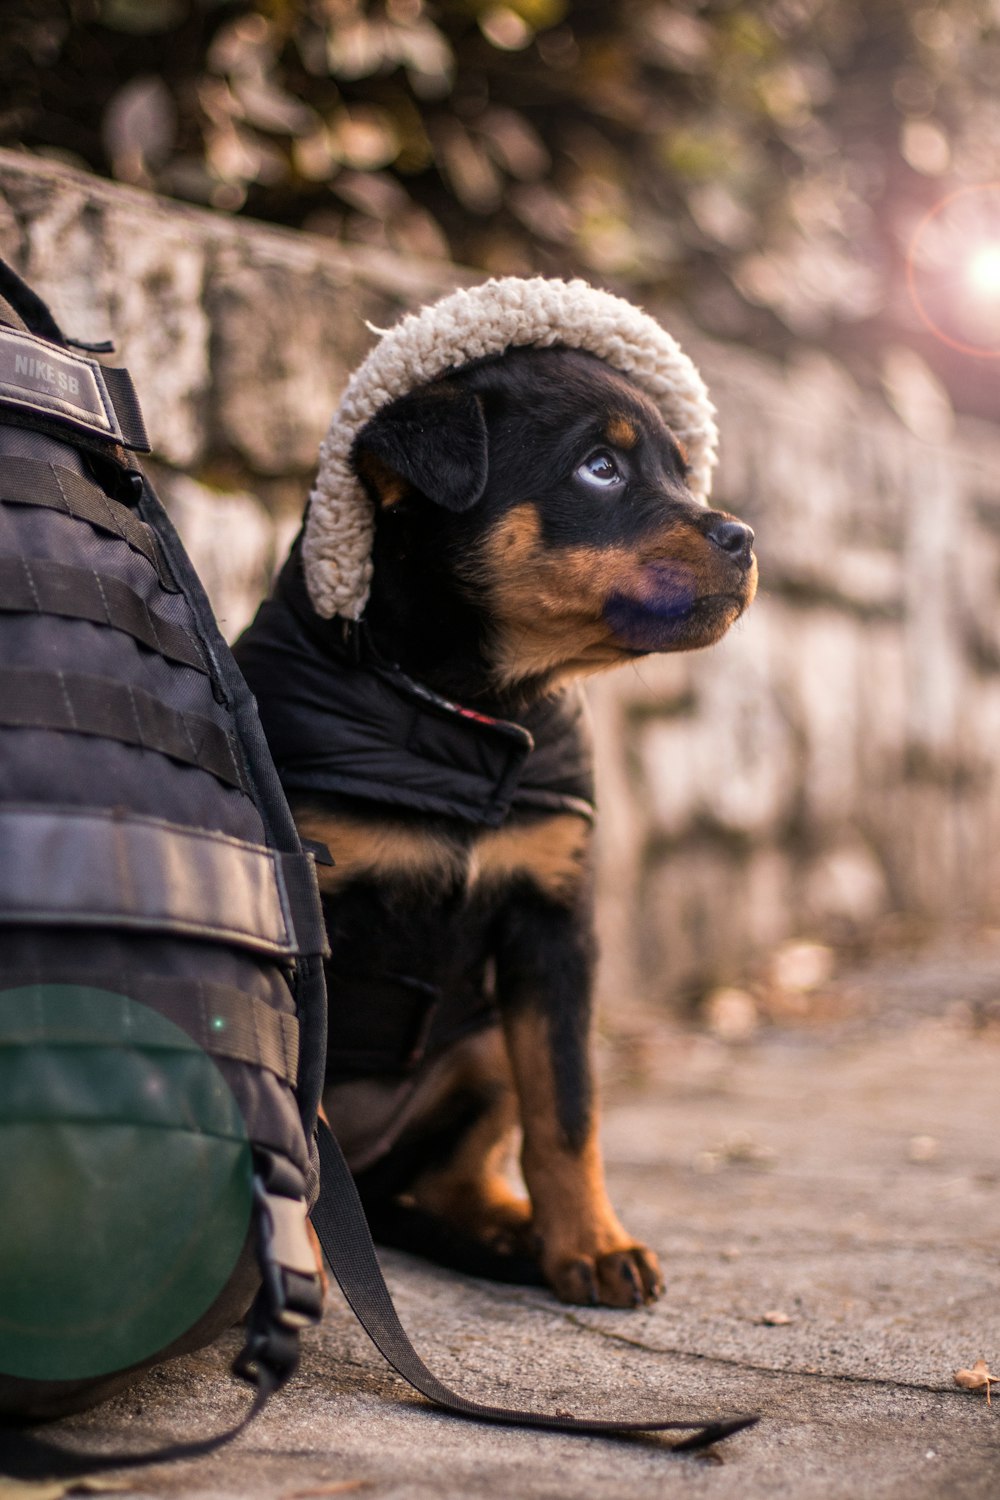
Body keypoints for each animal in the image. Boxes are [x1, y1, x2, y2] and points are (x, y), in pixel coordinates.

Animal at [238, 345, 755, 1308]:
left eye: (679, 468)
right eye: (601, 467)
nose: (743, 538)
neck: (475, 711)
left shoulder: (552, 927)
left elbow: (569, 1106)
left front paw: (594, 1244)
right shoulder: (309, 917)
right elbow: (304, 1113)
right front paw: (301, 1262)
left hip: (482, 1045)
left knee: (450, 1170)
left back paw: (515, 1232)